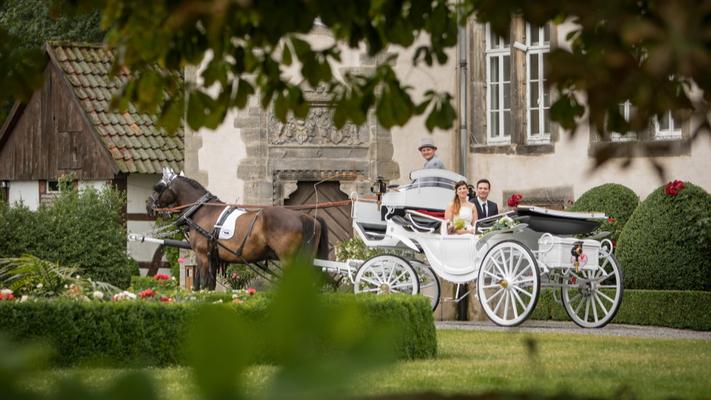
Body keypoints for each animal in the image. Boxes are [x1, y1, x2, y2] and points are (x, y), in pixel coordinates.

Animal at [149, 169, 330, 290]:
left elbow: (203, 284)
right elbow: (210, 286)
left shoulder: (202, 255)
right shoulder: (212, 257)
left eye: (158, 186)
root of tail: (306, 217)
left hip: (289, 259)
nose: (149, 205)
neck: (203, 210)